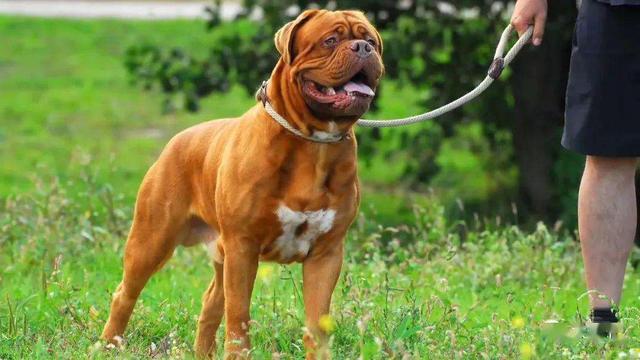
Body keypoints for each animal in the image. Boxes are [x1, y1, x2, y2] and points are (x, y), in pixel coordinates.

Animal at [101, 9, 384, 358]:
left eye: (371, 40)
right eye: (330, 40)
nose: (363, 48)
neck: (313, 142)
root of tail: (176, 140)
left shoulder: (326, 253)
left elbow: (317, 324)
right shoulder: (243, 246)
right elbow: (238, 315)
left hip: (220, 252)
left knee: (211, 301)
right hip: (152, 240)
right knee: (126, 292)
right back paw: (109, 343)